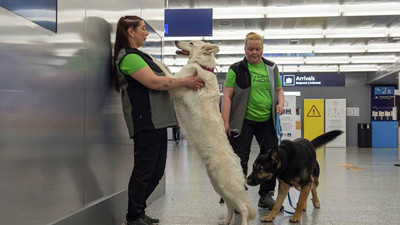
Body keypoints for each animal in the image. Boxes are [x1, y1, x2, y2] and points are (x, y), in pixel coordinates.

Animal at [153, 39, 256, 224]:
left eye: (191, 42)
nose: (175, 41)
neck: (202, 66)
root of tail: (237, 161)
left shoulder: (176, 82)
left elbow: (164, 68)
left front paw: (150, 56)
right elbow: (166, 67)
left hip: (226, 186)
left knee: (243, 207)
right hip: (218, 186)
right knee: (231, 205)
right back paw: (226, 221)